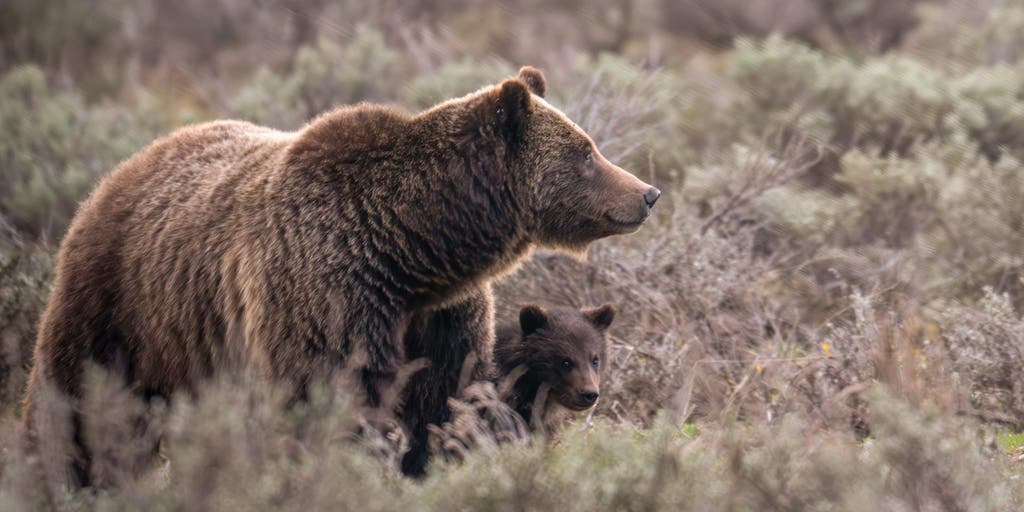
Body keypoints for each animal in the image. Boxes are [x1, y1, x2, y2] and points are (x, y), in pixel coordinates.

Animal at [25, 66, 663, 481]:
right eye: (586, 151)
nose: (648, 193)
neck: (414, 250)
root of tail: (125, 167)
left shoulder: (441, 317)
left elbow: (442, 403)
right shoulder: (328, 293)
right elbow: (331, 399)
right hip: (120, 303)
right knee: (76, 402)